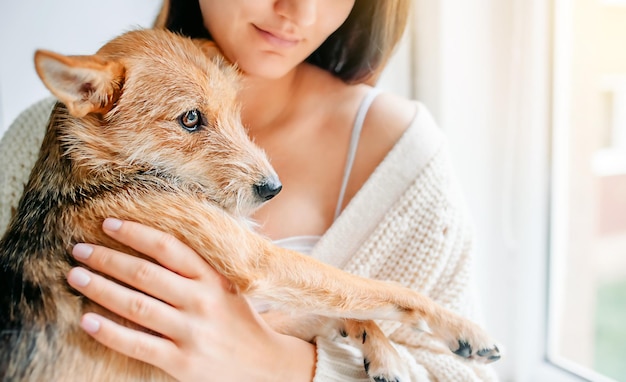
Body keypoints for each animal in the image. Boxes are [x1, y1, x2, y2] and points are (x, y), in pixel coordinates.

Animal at [0, 29, 498, 382]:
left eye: (235, 112)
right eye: (190, 118)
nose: (273, 188)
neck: (99, 175)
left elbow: (332, 309)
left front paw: (381, 351)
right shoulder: (255, 258)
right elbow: (372, 287)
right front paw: (463, 328)